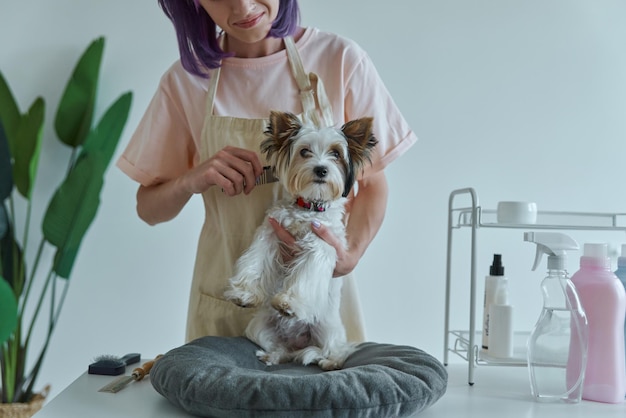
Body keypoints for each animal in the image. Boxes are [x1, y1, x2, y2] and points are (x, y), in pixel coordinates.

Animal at [227, 110, 378, 370]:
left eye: (336, 154)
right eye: (305, 151)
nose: (321, 169)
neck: (308, 207)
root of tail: (296, 340)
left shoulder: (320, 244)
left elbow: (306, 272)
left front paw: (289, 303)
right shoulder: (270, 231)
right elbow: (256, 259)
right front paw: (244, 293)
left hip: (329, 329)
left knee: (336, 349)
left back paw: (329, 361)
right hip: (259, 326)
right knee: (281, 349)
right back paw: (273, 355)